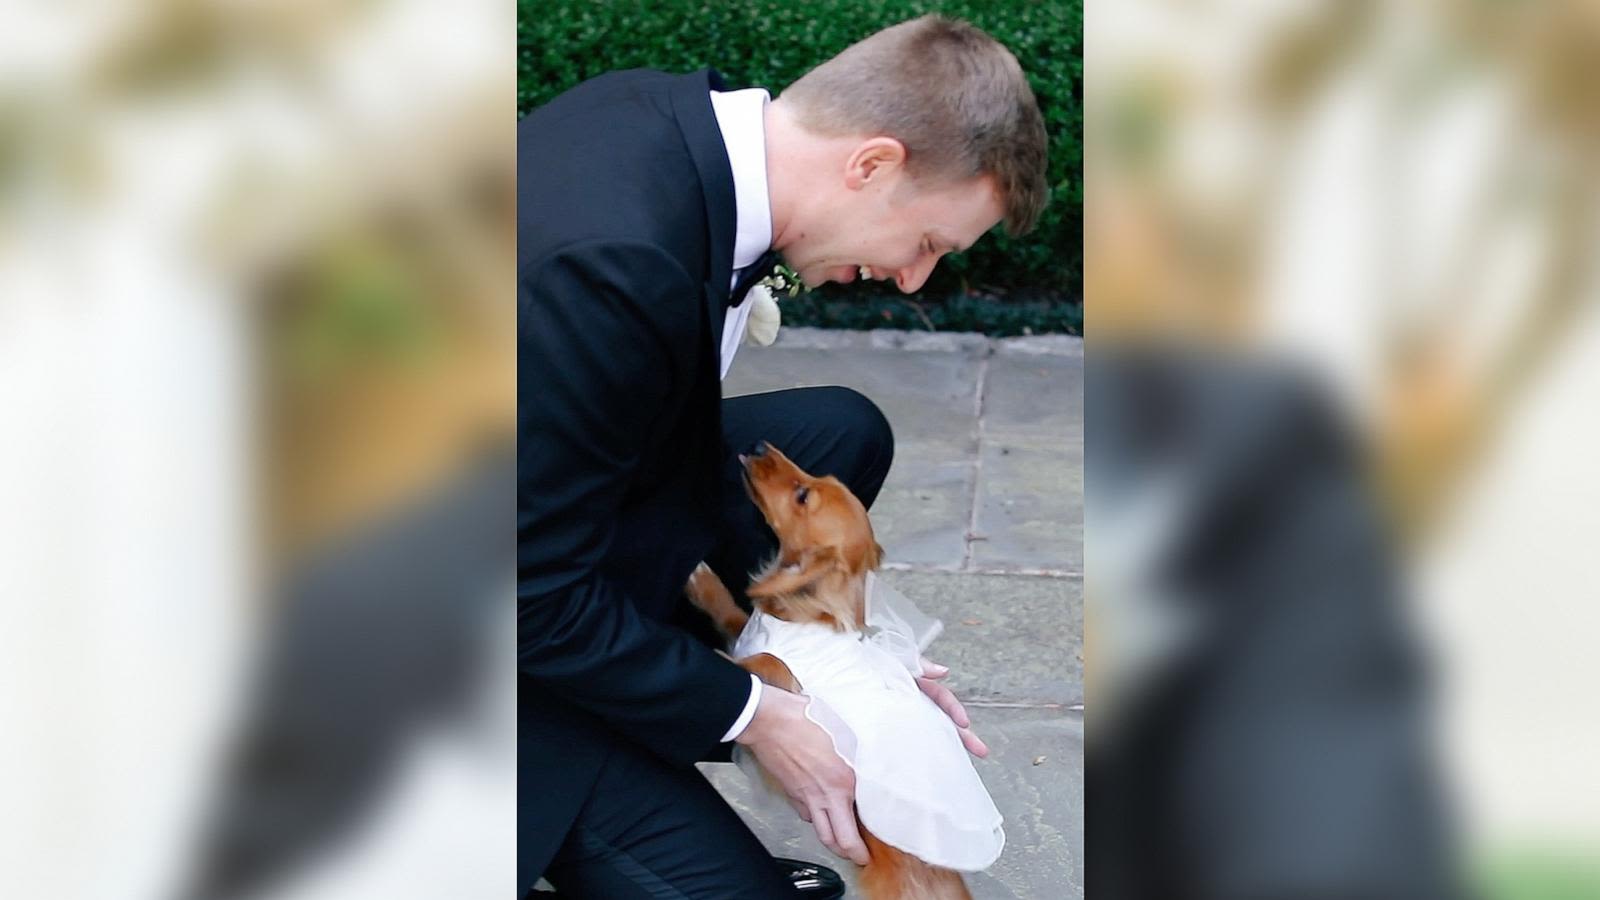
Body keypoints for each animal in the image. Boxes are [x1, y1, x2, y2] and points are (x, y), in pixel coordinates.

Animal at [688, 441, 972, 896]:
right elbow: (733, 615)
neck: (802, 616)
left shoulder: (782, 678)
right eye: (819, 479)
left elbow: (758, 662)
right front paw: (702, 581)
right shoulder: (748, 629)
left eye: (803, 495)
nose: (759, 446)